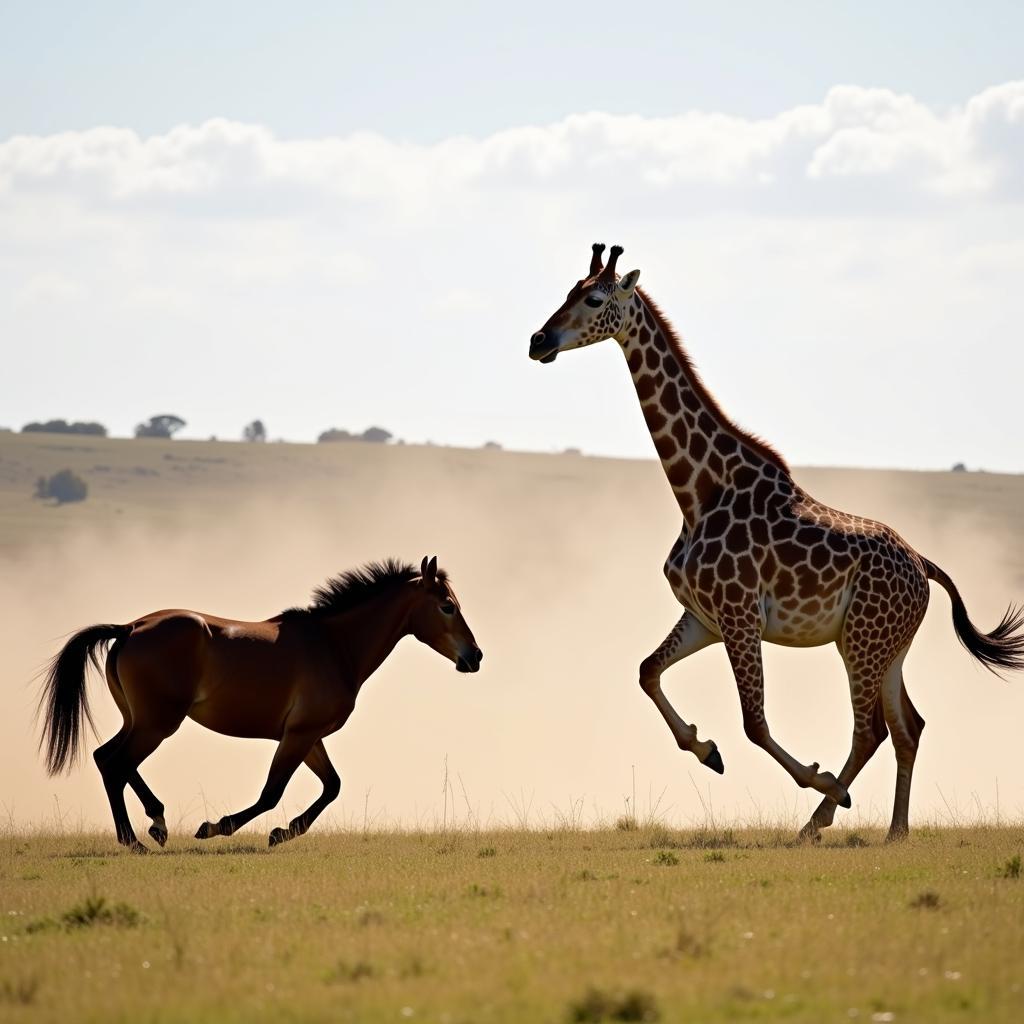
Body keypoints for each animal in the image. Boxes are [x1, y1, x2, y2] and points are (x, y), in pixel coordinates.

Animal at [40, 557, 483, 851]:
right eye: (447, 606)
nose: (475, 657)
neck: (334, 645)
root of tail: (130, 627)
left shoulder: (308, 736)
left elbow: (332, 786)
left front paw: (284, 831)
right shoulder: (298, 735)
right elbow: (272, 793)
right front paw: (218, 827)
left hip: (140, 720)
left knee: (106, 758)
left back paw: (156, 823)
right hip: (157, 723)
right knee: (116, 764)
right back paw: (138, 839)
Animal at [532, 245, 1019, 839]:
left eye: (595, 299)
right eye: (569, 290)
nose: (538, 341)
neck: (698, 491)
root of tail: (923, 564)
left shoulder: (740, 616)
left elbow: (754, 723)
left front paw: (813, 778)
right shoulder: (705, 617)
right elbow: (647, 672)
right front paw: (706, 751)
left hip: (862, 641)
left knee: (871, 730)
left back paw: (823, 813)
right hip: (885, 645)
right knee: (909, 726)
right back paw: (894, 830)